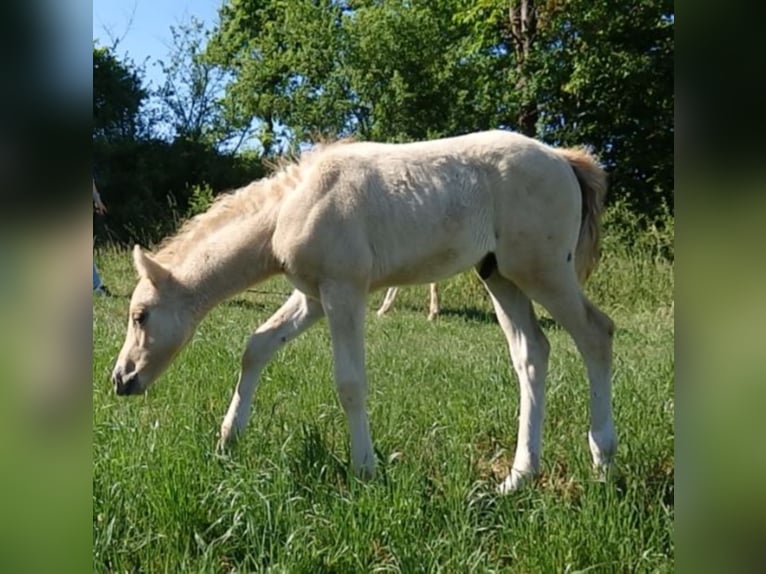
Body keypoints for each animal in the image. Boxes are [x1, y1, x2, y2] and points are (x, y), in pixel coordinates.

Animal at [109, 130, 616, 496]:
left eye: (140, 316)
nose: (120, 379)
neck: (292, 207)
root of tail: (563, 159)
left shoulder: (343, 292)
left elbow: (350, 383)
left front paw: (365, 469)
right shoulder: (312, 297)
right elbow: (257, 345)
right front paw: (228, 438)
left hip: (542, 271)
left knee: (597, 334)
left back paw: (603, 459)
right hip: (500, 276)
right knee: (532, 353)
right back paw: (517, 478)